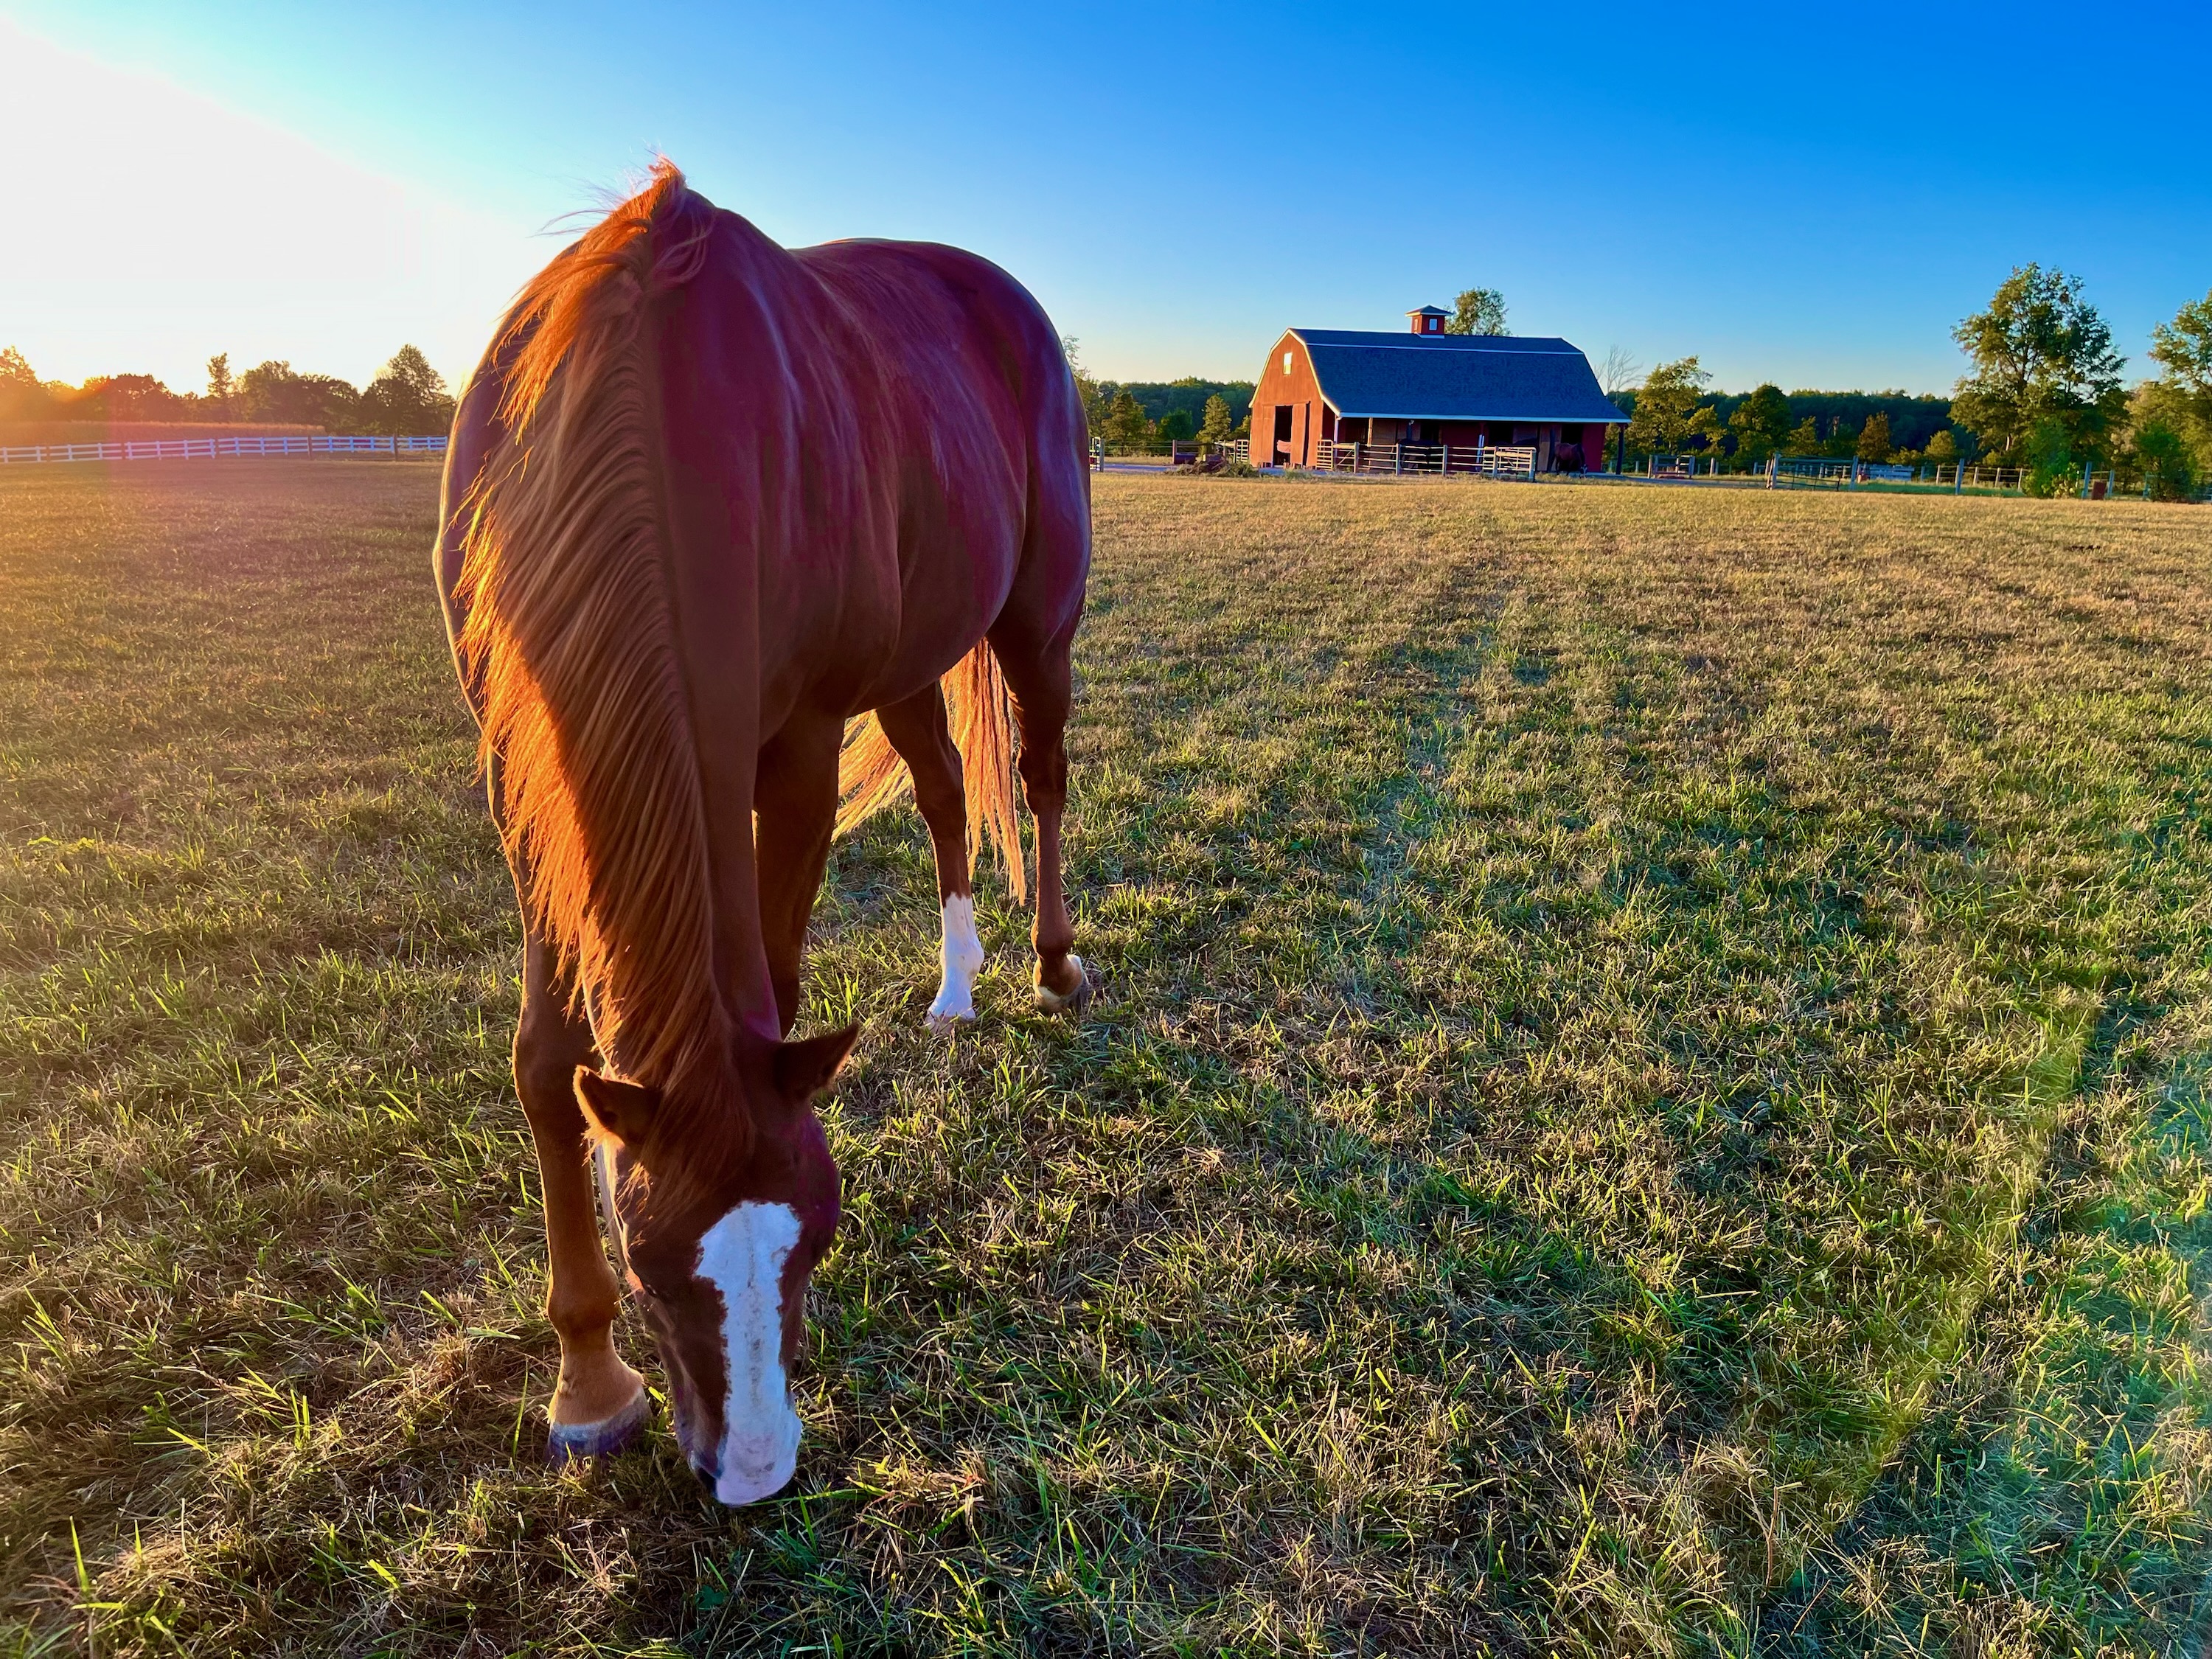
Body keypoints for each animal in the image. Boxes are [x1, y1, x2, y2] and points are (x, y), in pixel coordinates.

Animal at [432, 163, 1090, 1504]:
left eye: (816, 1244)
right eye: (648, 1263)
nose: (751, 1471)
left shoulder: (795, 743)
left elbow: (776, 988)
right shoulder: (527, 768)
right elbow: (546, 1063)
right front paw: (587, 1382)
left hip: (1037, 615)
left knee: (1041, 775)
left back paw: (1052, 962)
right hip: (913, 656)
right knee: (947, 793)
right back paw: (957, 987)